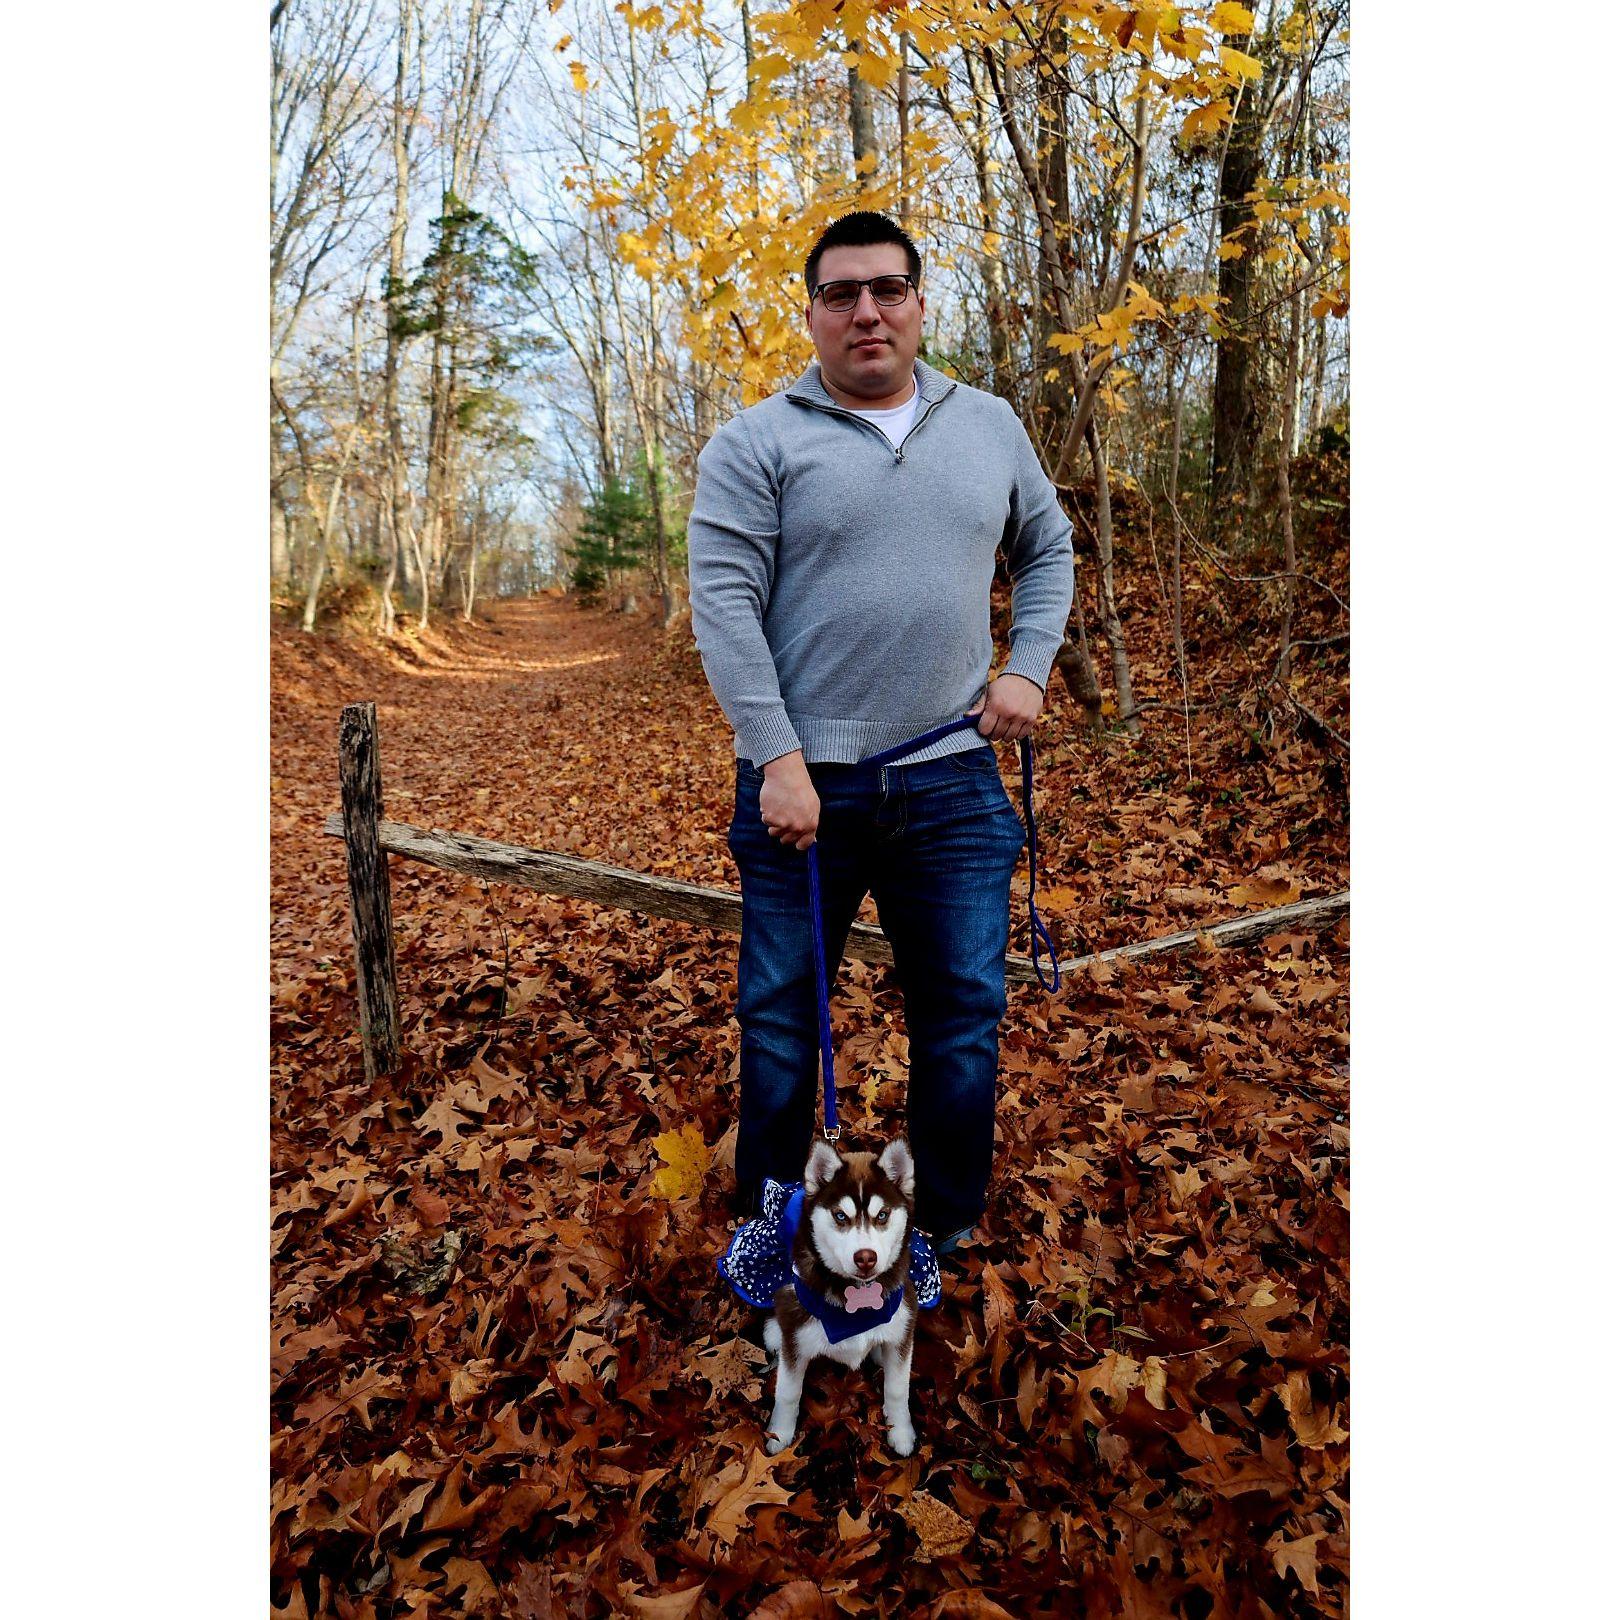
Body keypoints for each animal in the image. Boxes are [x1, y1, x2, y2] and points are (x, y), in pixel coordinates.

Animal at [762, 1136, 921, 1457]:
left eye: (882, 1215)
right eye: (840, 1216)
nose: (866, 1258)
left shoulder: (903, 1324)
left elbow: (898, 1388)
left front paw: (901, 1431)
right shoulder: (795, 1336)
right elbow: (787, 1392)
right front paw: (779, 1434)